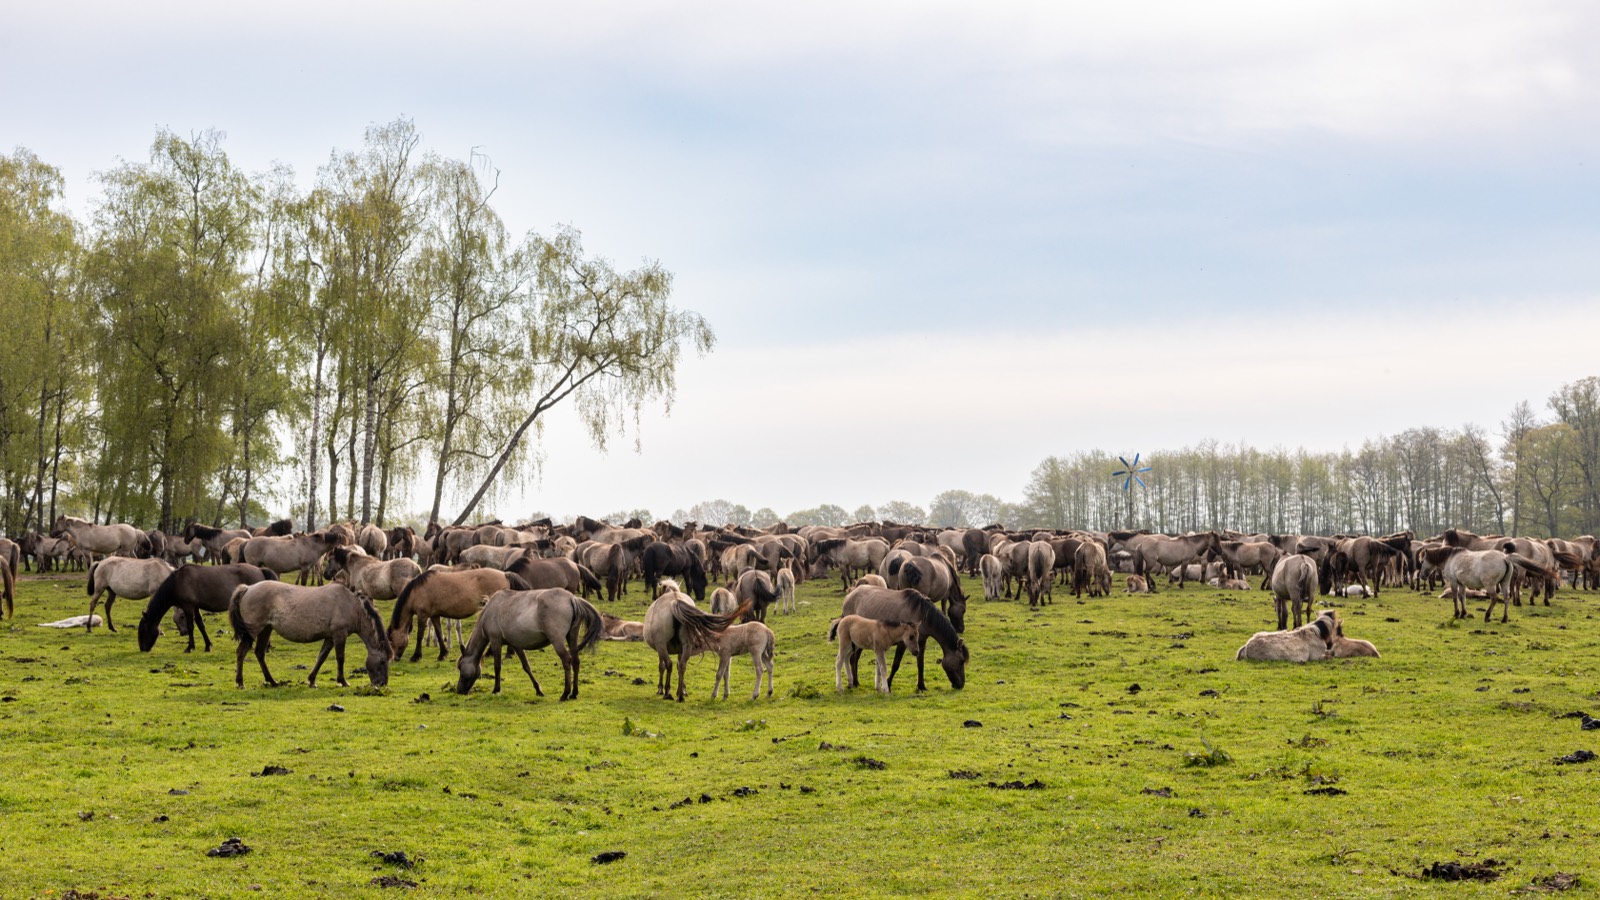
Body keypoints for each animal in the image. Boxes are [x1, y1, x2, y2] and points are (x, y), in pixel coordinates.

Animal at [138, 563, 279, 652]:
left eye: (143, 630)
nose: (142, 648)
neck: (177, 582)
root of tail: (260, 570)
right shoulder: (195, 607)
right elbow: (200, 625)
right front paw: (208, 646)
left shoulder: (188, 606)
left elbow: (191, 626)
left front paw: (189, 647)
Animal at [229, 581, 390, 688]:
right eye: (382, 661)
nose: (382, 684)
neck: (352, 605)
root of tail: (247, 588)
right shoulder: (339, 634)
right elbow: (340, 658)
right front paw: (342, 681)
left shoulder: (330, 637)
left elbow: (321, 657)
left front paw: (312, 680)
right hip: (253, 631)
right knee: (241, 652)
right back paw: (240, 682)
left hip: (266, 629)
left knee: (259, 653)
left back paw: (272, 681)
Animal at [388, 567, 532, 662]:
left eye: (391, 639)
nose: (395, 658)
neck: (418, 590)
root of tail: (504, 574)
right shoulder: (434, 615)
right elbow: (439, 633)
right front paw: (443, 653)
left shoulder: (422, 615)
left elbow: (419, 635)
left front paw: (416, 656)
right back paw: (507, 653)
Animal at [454, 587, 603, 699]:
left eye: (460, 667)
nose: (459, 690)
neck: (491, 610)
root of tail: (571, 598)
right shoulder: (516, 645)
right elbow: (526, 667)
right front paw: (538, 690)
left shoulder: (495, 641)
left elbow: (497, 666)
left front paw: (496, 689)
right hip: (572, 637)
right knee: (576, 661)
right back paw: (574, 693)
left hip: (557, 640)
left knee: (567, 661)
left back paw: (565, 693)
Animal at [838, 586, 967, 692]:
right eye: (961, 661)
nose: (961, 685)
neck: (921, 613)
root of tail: (849, 595)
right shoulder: (903, 643)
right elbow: (896, 664)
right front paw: (888, 684)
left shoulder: (921, 642)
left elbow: (920, 664)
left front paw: (921, 686)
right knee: (853, 659)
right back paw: (855, 682)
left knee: (854, 659)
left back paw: (855, 682)